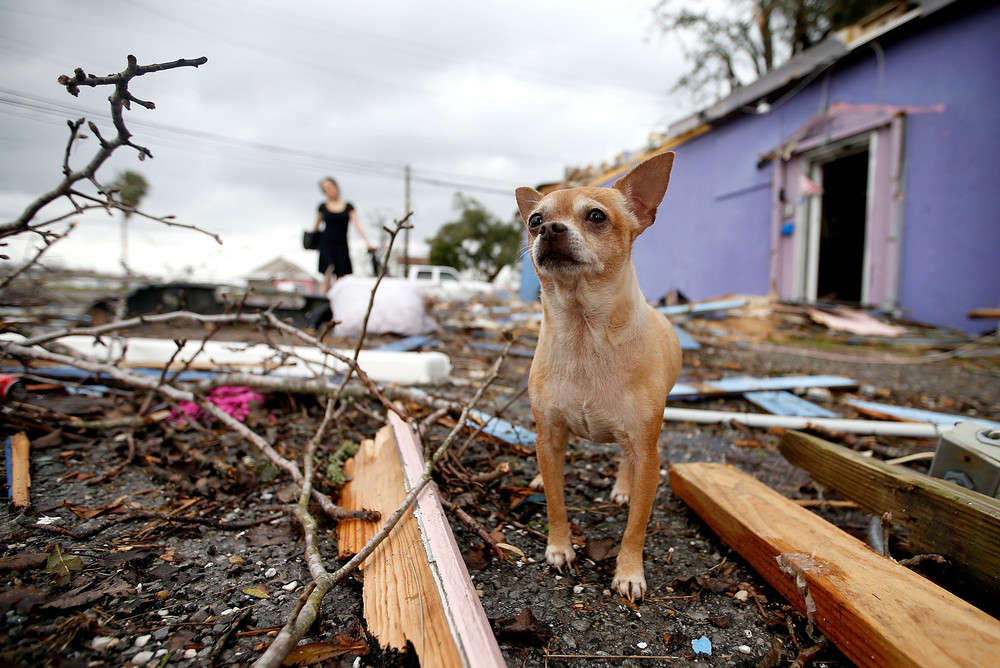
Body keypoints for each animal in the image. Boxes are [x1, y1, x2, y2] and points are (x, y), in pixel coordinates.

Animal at [516, 154, 680, 604]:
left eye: (596, 216)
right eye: (535, 220)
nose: (550, 229)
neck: (583, 333)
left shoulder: (646, 450)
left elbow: (637, 524)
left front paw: (629, 571)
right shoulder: (550, 434)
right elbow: (556, 502)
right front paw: (559, 547)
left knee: (626, 459)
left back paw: (624, 487)